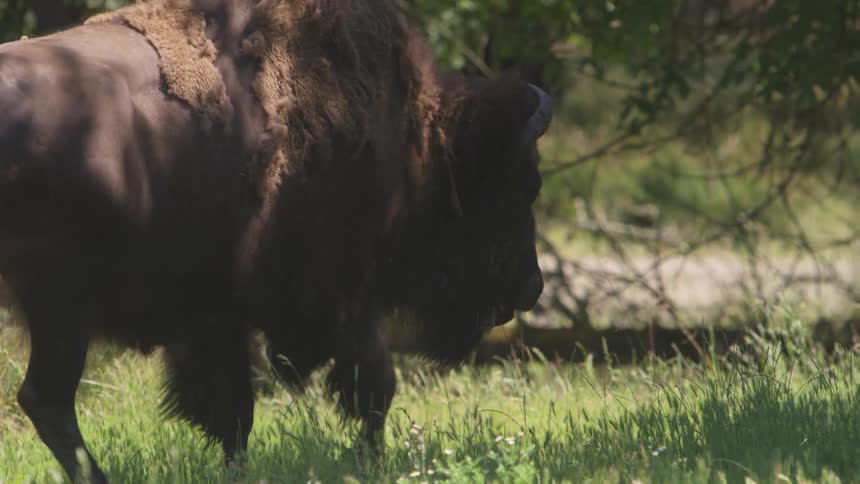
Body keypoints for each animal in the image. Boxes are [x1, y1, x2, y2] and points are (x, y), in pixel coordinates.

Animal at [0, 0, 552, 481]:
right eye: (524, 184)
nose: (533, 286)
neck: (412, 142)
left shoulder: (216, 317)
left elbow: (234, 413)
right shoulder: (347, 299)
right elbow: (374, 390)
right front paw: (370, 462)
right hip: (63, 308)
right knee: (47, 399)